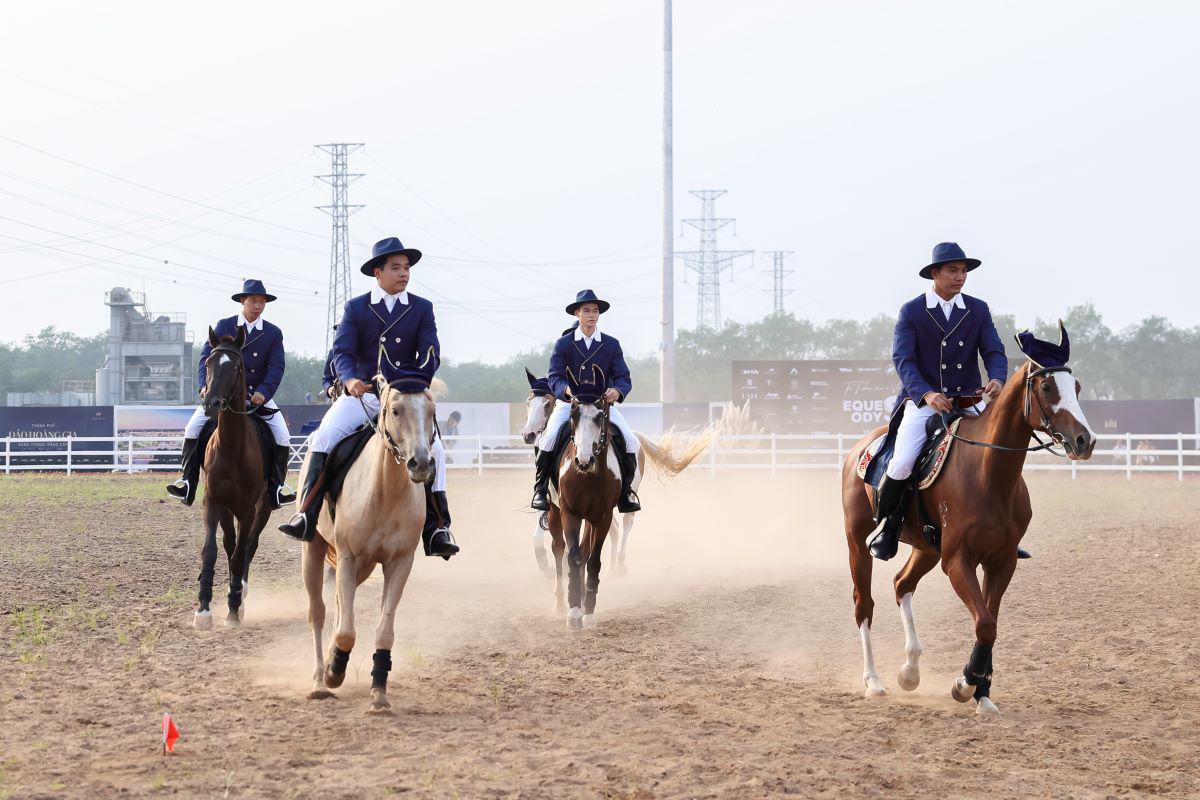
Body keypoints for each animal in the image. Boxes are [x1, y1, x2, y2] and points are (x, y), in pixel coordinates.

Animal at [193, 326, 273, 633]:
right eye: (208, 363)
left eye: (236, 367)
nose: (211, 404)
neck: (232, 447)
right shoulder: (213, 502)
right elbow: (211, 550)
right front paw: (203, 609)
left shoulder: (249, 510)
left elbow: (241, 554)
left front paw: (233, 610)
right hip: (229, 510)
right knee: (230, 544)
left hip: (261, 509)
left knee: (248, 546)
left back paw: (240, 595)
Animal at [302, 376, 444, 714]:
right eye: (395, 410)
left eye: (432, 411)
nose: (422, 464)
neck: (385, 492)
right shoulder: (348, 557)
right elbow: (346, 631)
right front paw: (335, 671)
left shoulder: (399, 563)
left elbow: (384, 630)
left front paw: (378, 691)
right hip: (314, 552)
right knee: (319, 612)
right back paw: (320, 680)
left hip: (361, 568)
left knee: (339, 607)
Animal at [844, 326, 1099, 719]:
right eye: (1046, 387)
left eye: (1077, 387)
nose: (1085, 440)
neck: (989, 475)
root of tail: (860, 447)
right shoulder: (958, 561)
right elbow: (985, 623)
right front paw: (965, 684)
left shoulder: (1001, 562)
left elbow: (990, 624)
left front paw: (982, 693)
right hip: (859, 543)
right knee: (864, 604)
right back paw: (874, 681)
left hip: (927, 549)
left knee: (902, 584)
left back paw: (910, 671)